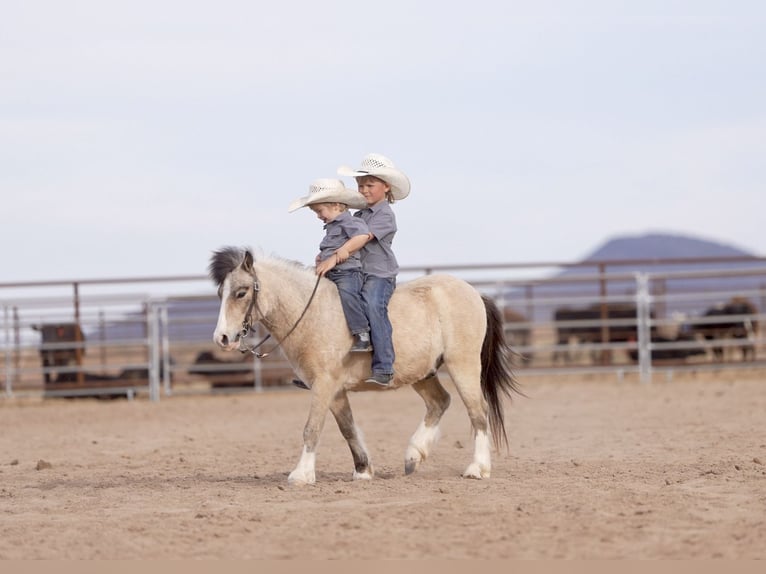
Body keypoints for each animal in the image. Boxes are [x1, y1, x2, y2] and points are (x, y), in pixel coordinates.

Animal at [209, 247, 521, 485]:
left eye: (241, 292)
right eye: (221, 293)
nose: (222, 338)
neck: (312, 314)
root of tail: (474, 293)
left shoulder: (323, 385)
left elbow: (312, 428)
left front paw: (301, 474)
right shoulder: (334, 390)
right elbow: (348, 428)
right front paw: (363, 470)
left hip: (463, 365)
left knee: (478, 412)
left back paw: (477, 469)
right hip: (422, 373)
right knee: (439, 402)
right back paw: (413, 455)